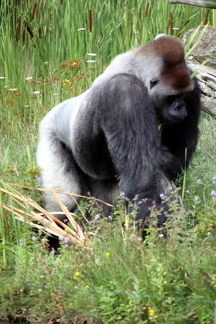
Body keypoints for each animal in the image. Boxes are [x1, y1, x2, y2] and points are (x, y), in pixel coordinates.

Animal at [36, 35, 200, 227]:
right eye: (172, 97)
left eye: (182, 95)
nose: (181, 108)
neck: (136, 70)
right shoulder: (125, 92)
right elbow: (144, 176)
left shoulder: (192, 82)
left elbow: (175, 157)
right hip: (48, 132)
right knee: (63, 200)